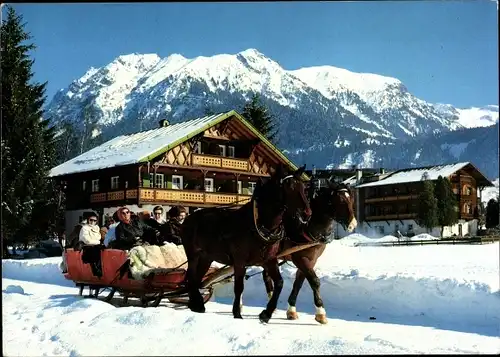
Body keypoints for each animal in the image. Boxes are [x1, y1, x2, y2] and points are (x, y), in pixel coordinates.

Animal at [182, 164, 310, 322]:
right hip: (193, 254)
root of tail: (188, 218)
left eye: (303, 187)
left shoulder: (269, 260)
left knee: (196, 278)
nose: (307, 213)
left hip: (207, 257)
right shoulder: (239, 261)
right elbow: (239, 287)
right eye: (289, 186)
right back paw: (196, 303)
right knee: (191, 277)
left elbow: (279, 283)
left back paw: (196, 304)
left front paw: (266, 313)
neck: (259, 225)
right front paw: (237, 313)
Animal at [260, 181, 358, 322]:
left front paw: (291, 309)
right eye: (340, 200)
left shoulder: (311, 260)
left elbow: (298, 283)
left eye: (351, 200)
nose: (353, 225)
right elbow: (315, 281)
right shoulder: (299, 259)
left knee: (266, 274)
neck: (307, 226)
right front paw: (321, 312)